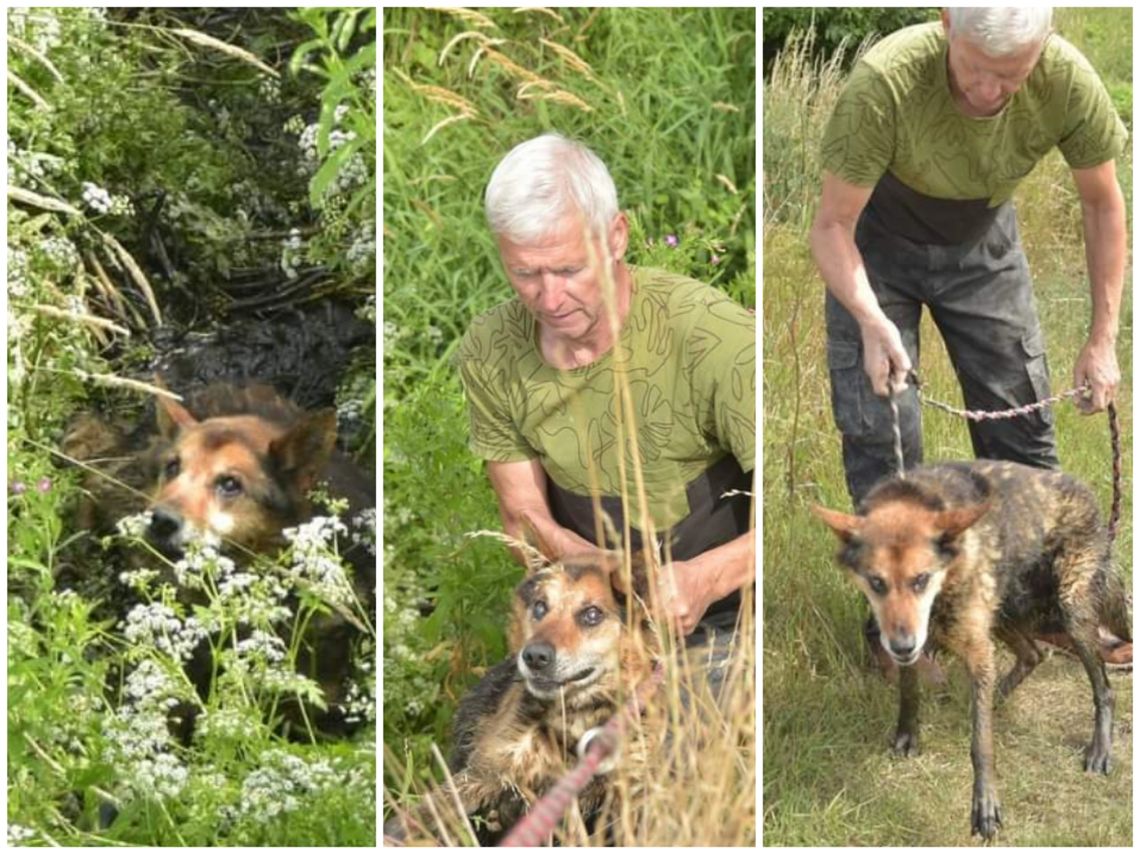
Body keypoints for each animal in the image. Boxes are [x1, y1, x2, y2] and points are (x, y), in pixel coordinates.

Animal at [816, 460, 1126, 839]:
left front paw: (985, 804)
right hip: (1004, 610)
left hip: (1069, 610)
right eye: (877, 582)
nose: (902, 645)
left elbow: (981, 744)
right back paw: (996, 696)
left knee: (1103, 689)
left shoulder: (975, 649)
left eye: (921, 579)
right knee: (1033, 654)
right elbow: (909, 692)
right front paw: (907, 737)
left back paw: (1100, 748)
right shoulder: (919, 642)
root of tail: (1088, 495)